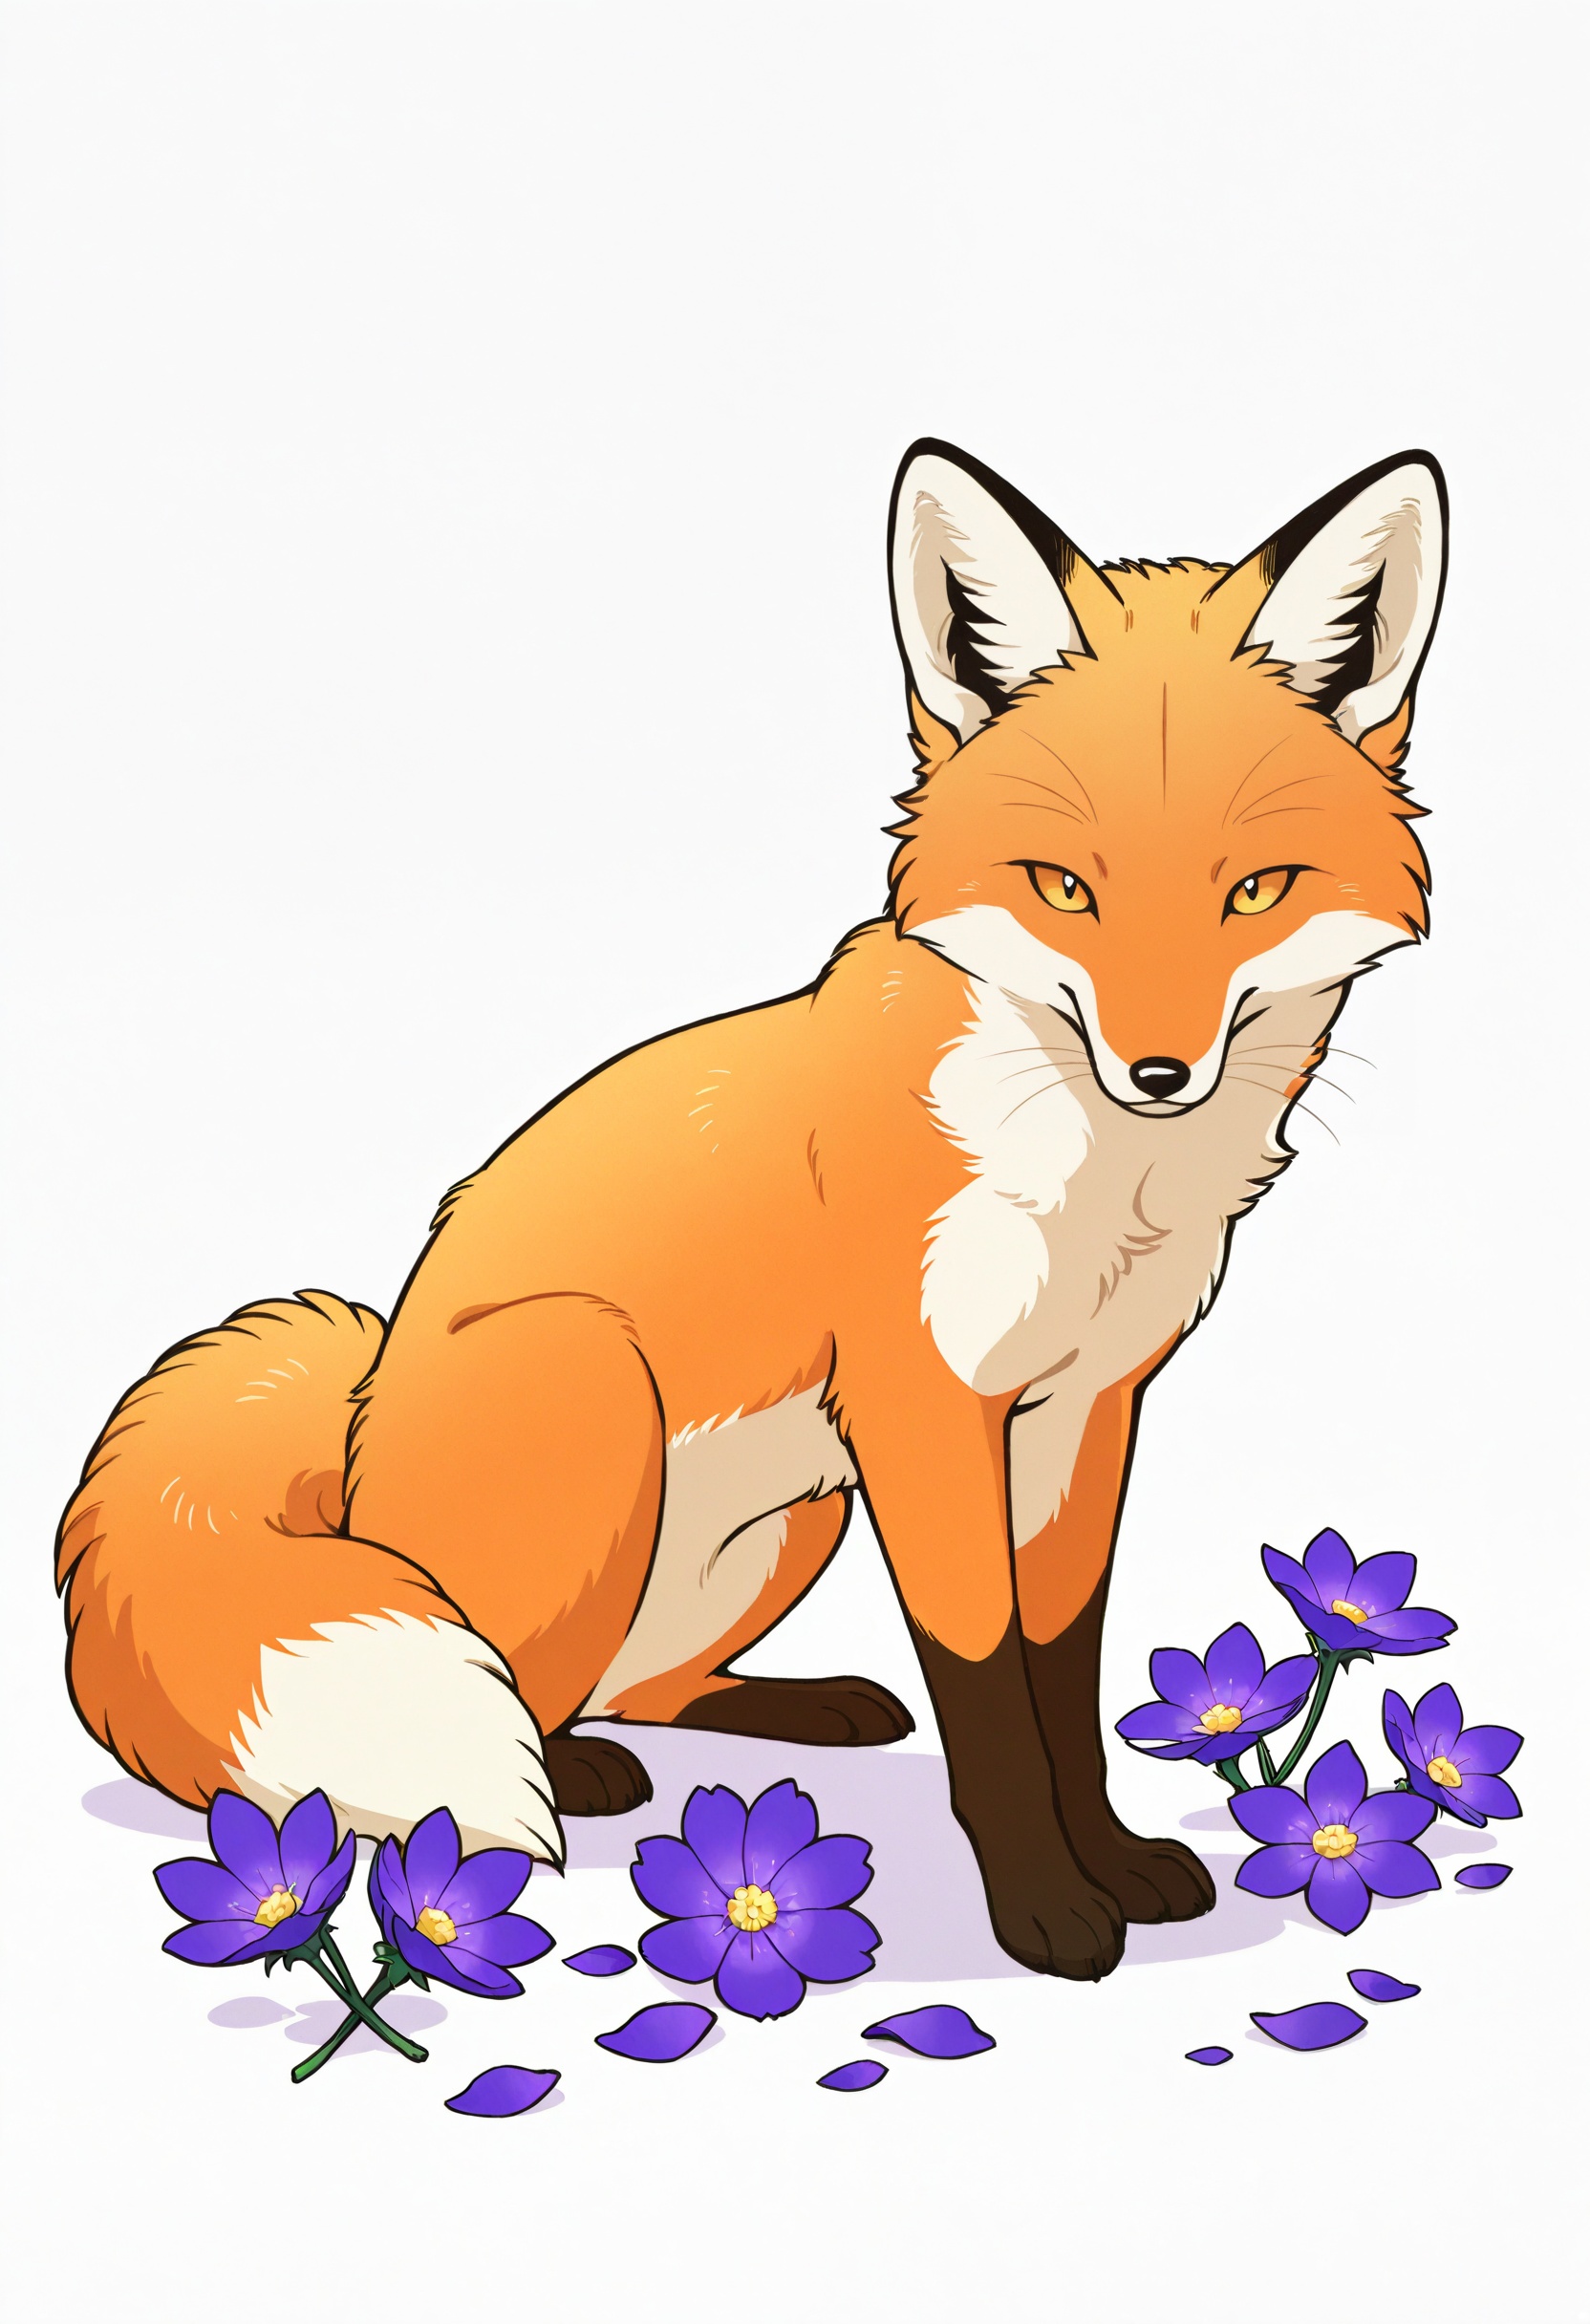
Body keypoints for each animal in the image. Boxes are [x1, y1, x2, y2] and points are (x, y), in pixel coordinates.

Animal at [56, 440, 1447, 1980]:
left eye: (1253, 891)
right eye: (1063, 889)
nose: (1158, 1073)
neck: (1088, 1186)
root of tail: (355, 1429)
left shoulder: (1082, 1413)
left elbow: (1060, 1669)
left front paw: (1116, 1861)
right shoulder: (923, 1411)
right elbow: (987, 1681)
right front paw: (1042, 1905)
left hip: (797, 1515)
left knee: (646, 1682)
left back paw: (796, 1706)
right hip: (597, 1400)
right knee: (499, 1700)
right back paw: (542, 1795)